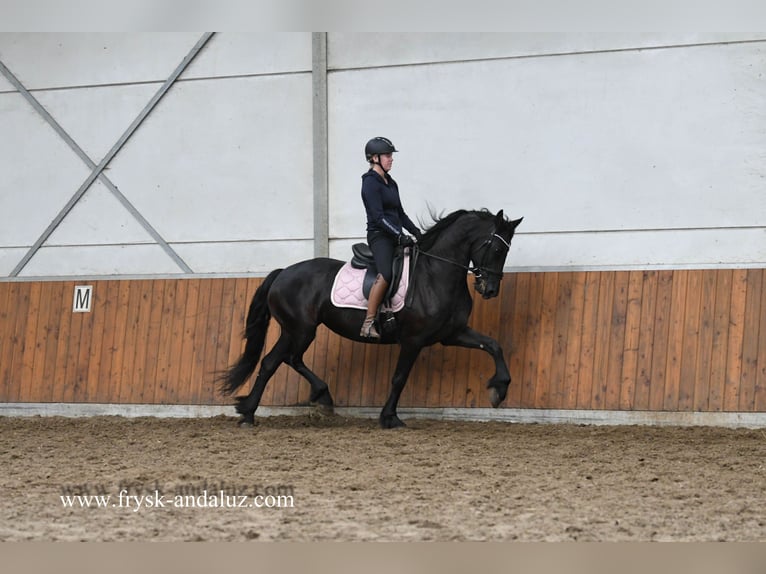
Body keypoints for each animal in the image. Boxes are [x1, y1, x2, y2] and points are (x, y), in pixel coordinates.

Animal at [219, 209, 524, 430]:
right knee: (283, 360)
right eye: (498, 250)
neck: (435, 273)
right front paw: (390, 418)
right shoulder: (413, 340)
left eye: (506, 251)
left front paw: (499, 389)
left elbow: (493, 345)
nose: (490, 290)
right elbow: (399, 378)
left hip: (294, 330)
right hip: (301, 330)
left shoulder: (453, 333)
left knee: (275, 362)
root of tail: (282, 273)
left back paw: (254, 412)